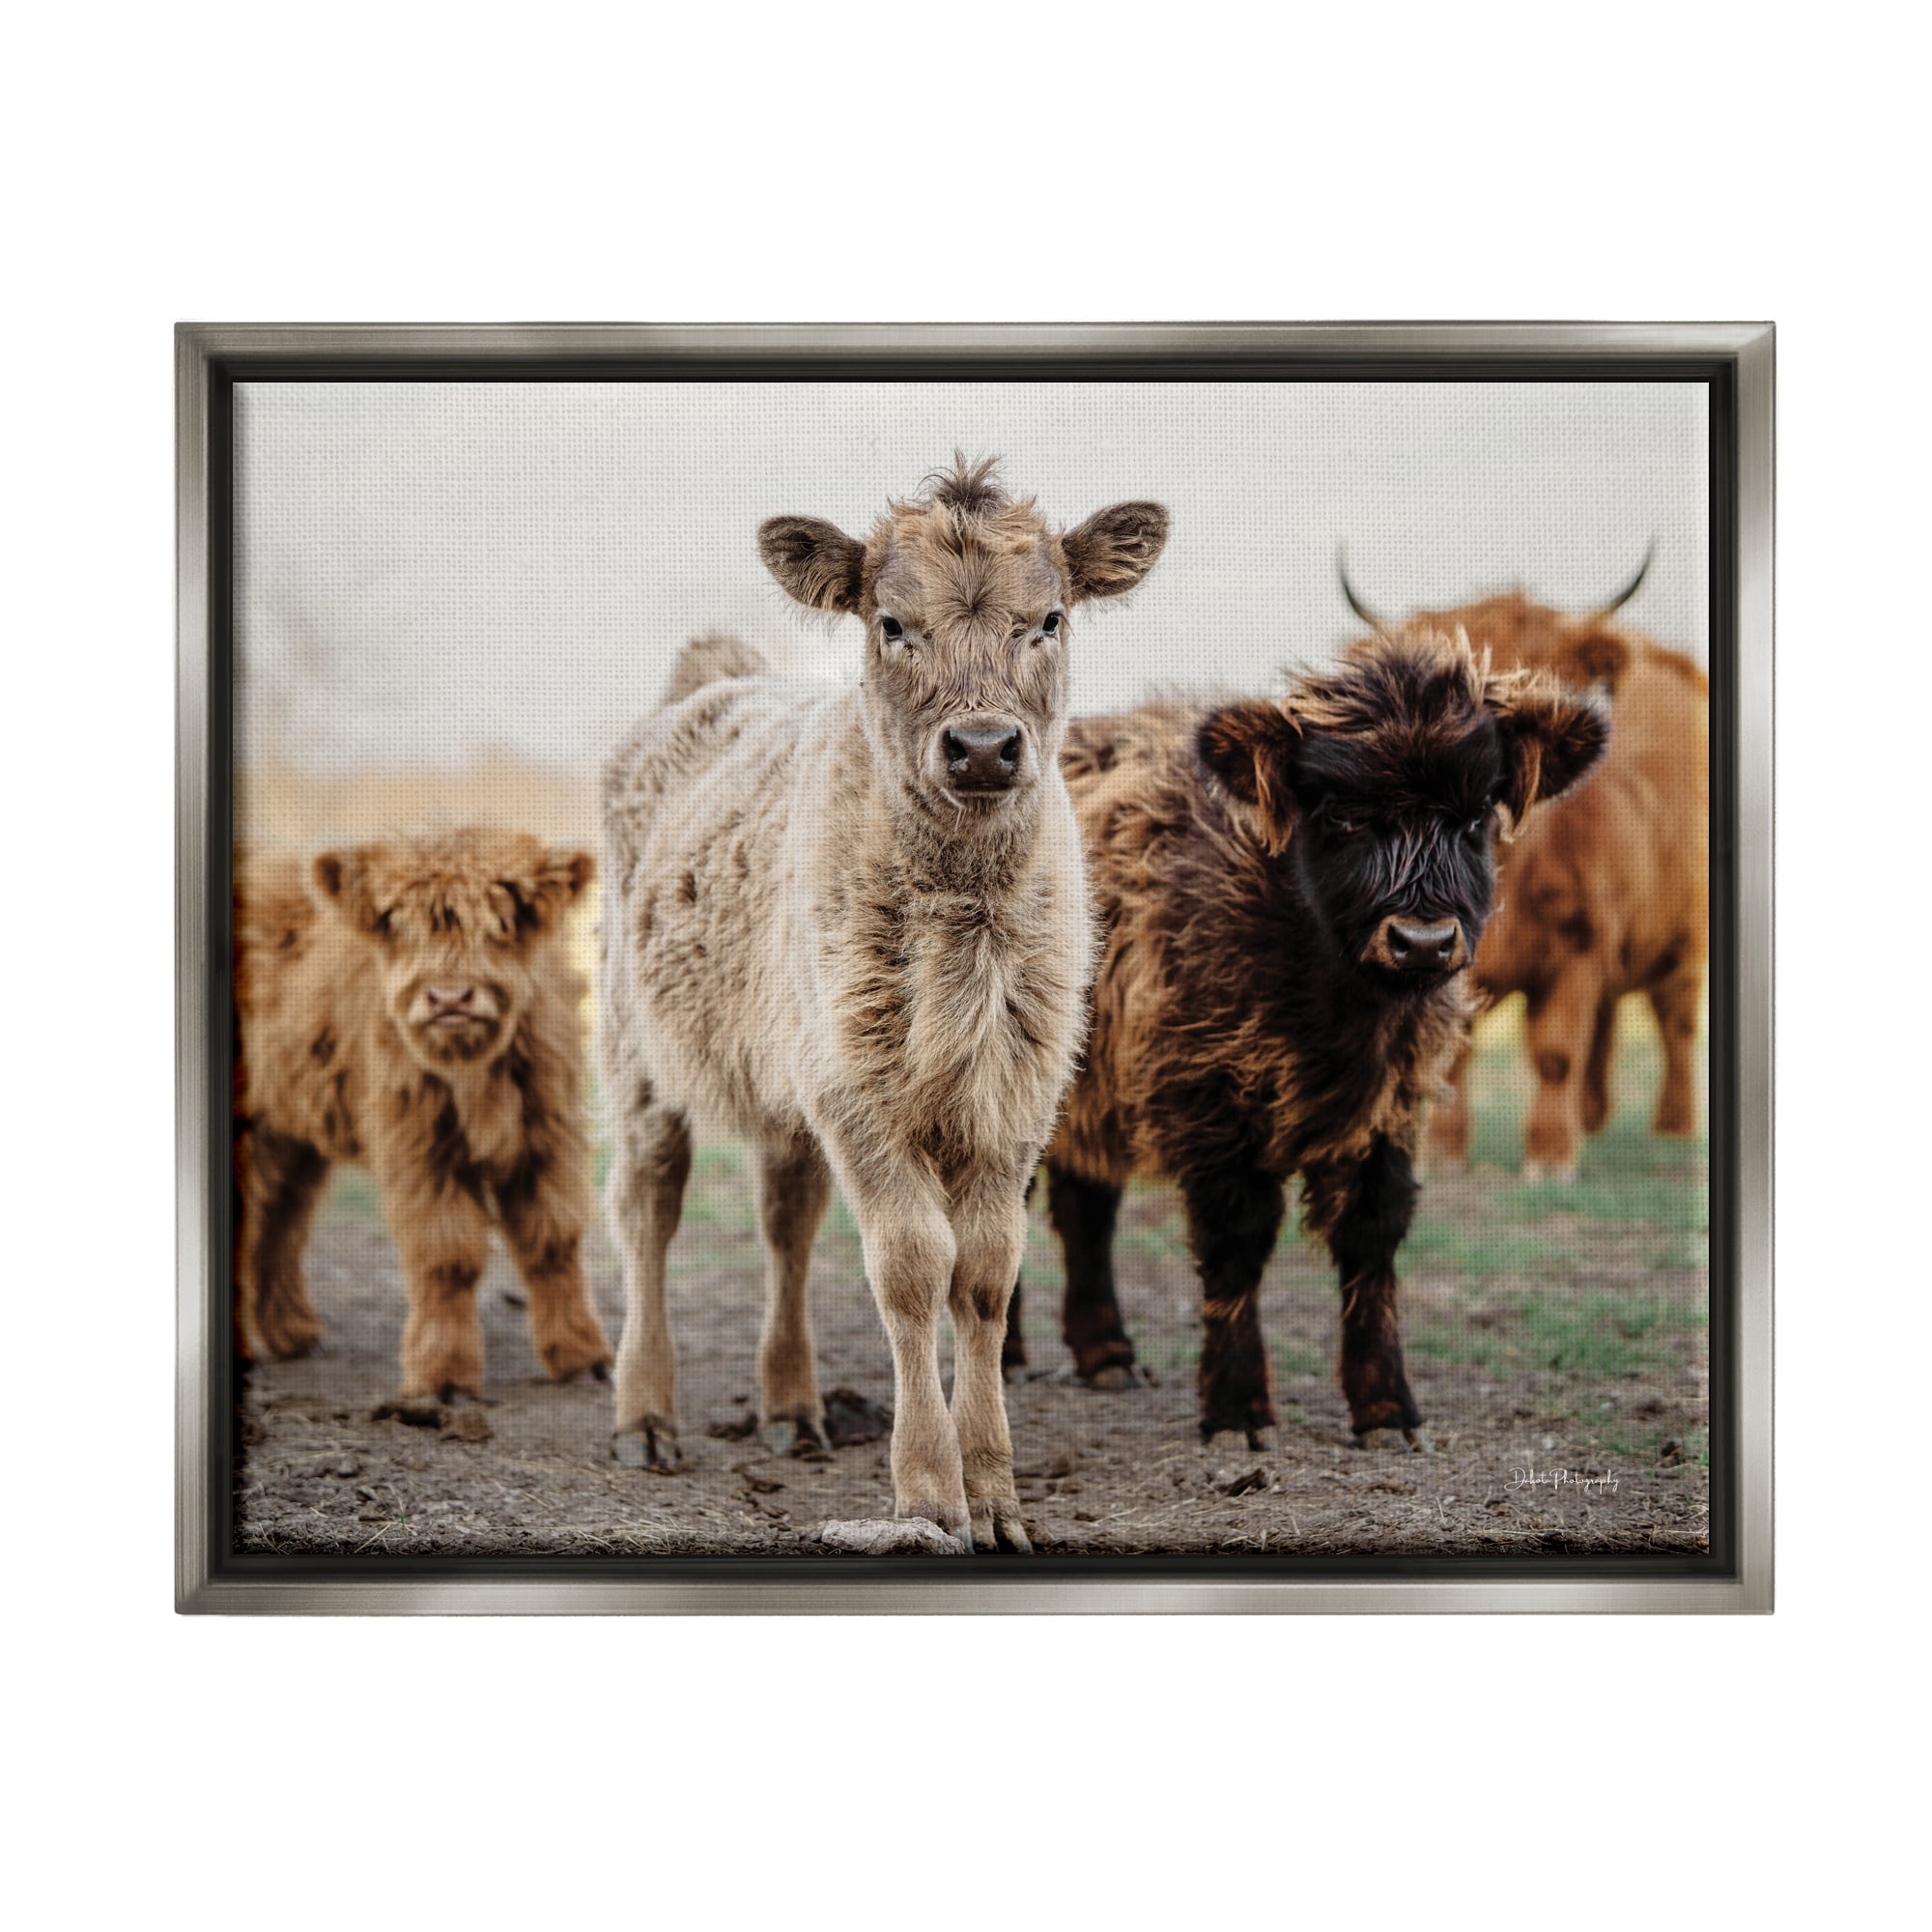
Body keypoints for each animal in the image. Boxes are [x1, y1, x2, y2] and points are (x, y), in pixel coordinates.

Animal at [232, 831, 613, 1420]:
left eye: (500, 924)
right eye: (398, 925)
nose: (449, 997)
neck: (473, 1070)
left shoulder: (547, 1133)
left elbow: (553, 1239)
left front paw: (583, 1360)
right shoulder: (419, 1145)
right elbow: (446, 1255)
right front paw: (443, 1379)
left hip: (290, 1129)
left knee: (281, 1218)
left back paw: (294, 1335)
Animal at [599, 457, 1168, 1550]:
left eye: (1050, 618)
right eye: (892, 623)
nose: (982, 748)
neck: (964, 927)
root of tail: (714, 679)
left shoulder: (1015, 1095)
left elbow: (984, 1273)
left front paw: (994, 1490)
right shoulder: (860, 1096)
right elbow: (911, 1266)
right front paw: (929, 1490)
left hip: (791, 1072)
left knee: (785, 1219)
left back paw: (792, 1405)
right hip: (639, 1052)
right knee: (648, 1207)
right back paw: (645, 1413)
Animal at [1001, 628, 1609, 1447]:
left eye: (1478, 811)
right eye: (1342, 815)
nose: (1422, 942)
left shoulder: (1393, 1108)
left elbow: (1372, 1236)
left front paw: (1386, 1409)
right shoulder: (1208, 1098)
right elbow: (1238, 1242)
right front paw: (1237, 1410)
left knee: (1085, 1207)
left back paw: (1106, 1356)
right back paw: (1005, 1355)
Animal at [1341, 562, 1710, 1177]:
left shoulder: (1582, 943)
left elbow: (1557, 1051)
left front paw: (1551, 1158)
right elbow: (1455, 1053)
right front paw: (1444, 1154)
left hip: (1682, 943)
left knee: (1675, 1022)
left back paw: (1673, 1131)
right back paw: (1594, 1119)